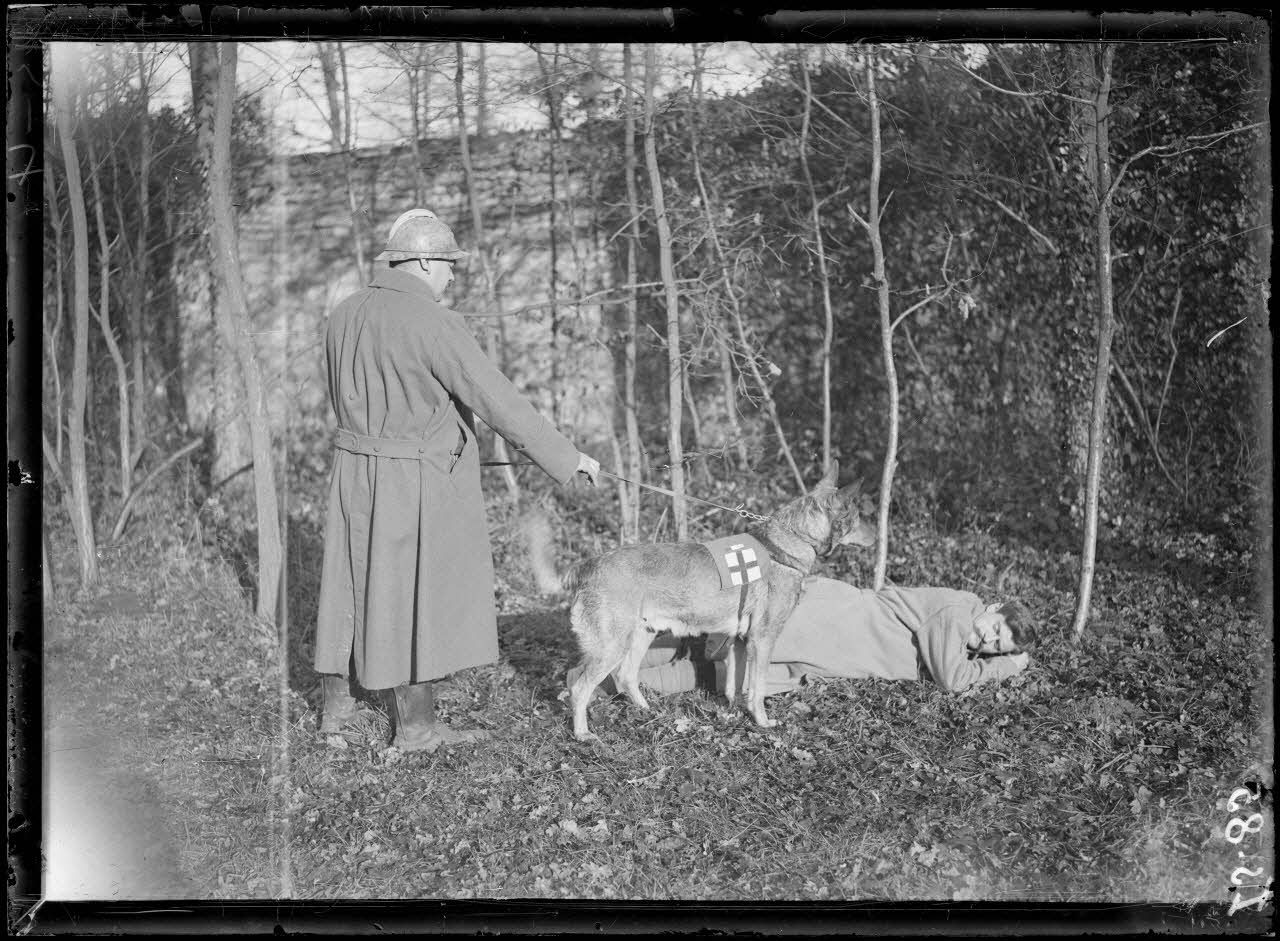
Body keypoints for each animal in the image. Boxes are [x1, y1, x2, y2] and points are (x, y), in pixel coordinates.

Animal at [563, 463, 875, 742]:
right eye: (857, 516)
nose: (876, 537)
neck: (786, 544)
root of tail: (588, 566)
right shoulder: (762, 639)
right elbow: (758, 688)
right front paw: (763, 722)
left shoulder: (739, 642)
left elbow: (734, 687)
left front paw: (733, 714)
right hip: (613, 646)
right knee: (580, 689)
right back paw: (583, 734)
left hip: (642, 636)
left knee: (625, 677)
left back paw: (650, 711)